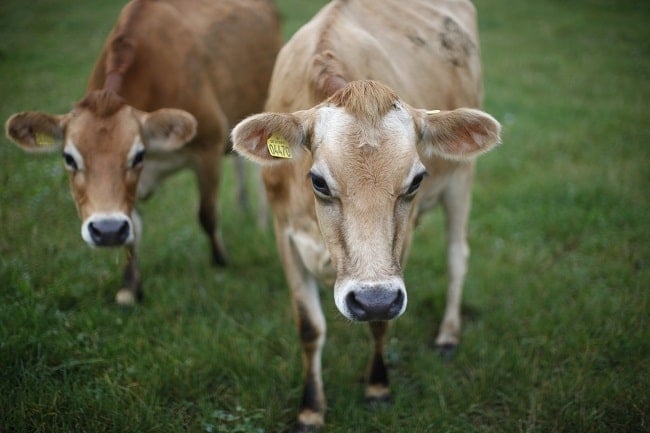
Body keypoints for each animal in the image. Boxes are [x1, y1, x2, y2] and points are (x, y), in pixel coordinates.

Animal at [5, 0, 280, 304]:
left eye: (137, 155)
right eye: (69, 158)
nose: (107, 231)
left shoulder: (207, 146)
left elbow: (207, 214)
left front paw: (220, 261)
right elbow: (133, 228)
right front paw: (130, 286)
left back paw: (262, 221)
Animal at [233, 0, 502, 428]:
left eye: (416, 179)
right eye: (318, 181)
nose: (372, 298)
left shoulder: (398, 252)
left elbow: (380, 322)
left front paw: (377, 386)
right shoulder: (284, 234)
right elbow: (309, 326)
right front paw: (311, 409)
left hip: (462, 178)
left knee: (457, 257)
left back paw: (448, 335)